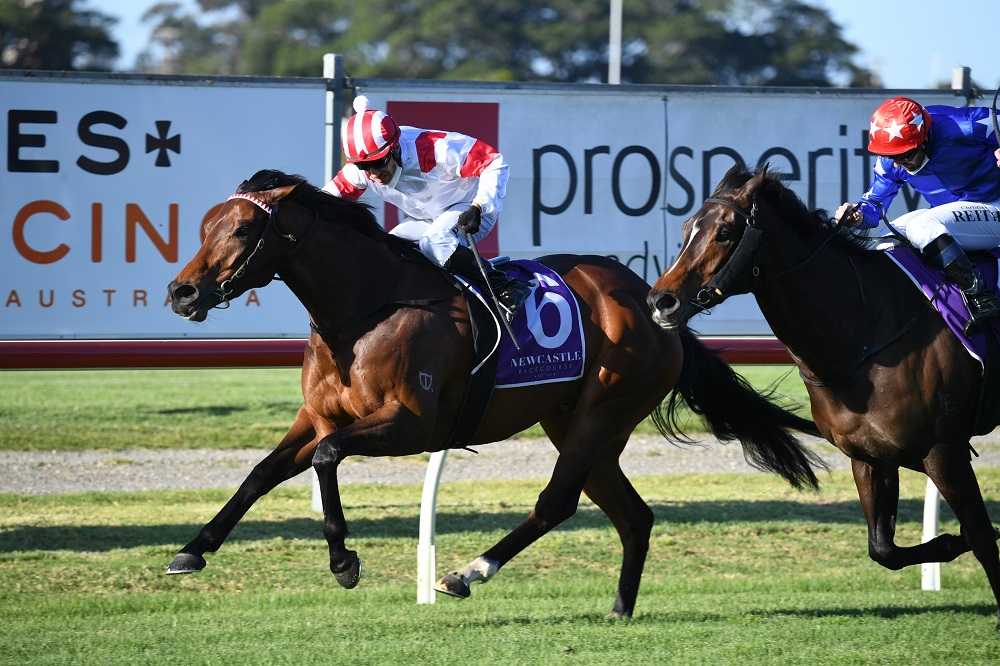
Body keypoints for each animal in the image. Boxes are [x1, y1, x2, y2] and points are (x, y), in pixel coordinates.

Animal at [166, 169, 820, 616]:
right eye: (205, 226)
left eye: (242, 229)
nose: (181, 292)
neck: (364, 309)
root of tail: (653, 301)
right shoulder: (319, 416)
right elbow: (262, 473)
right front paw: (193, 549)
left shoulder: (412, 422)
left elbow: (327, 459)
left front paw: (344, 560)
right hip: (577, 422)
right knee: (633, 514)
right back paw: (620, 609)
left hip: (603, 410)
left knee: (557, 503)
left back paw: (467, 572)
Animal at [648, 163, 1000, 624]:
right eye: (687, 226)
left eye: (724, 232)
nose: (661, 301)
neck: (866, 329)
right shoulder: (869, 456)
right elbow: (884, 549)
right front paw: (947, 541)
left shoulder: (943, 450)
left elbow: (981, 534)